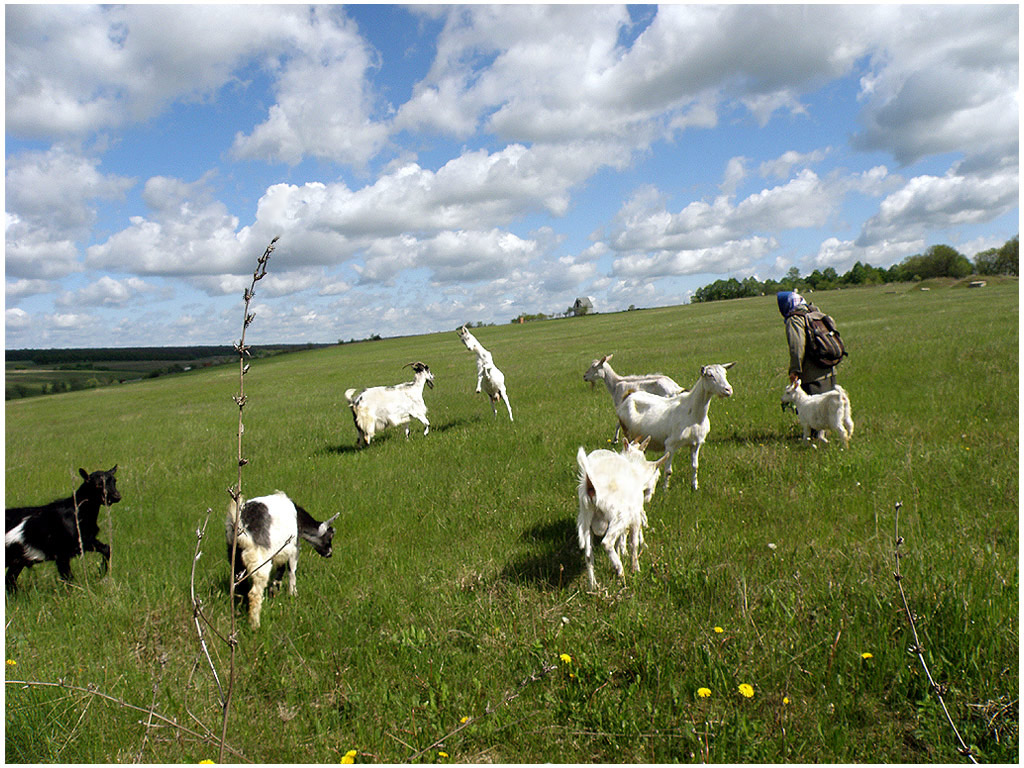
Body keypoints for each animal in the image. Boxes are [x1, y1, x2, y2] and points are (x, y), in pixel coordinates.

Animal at [4, 462, 121, 593]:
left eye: (114, 481)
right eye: (98, 484)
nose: (117, 496)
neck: (77, 512)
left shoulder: (85, 542)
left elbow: (106, 549)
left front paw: (101, 572)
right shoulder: (63, 552)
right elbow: (67, 576)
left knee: (9, 581)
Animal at [573, 438, 667, 589]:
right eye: (656, 476)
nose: (649, 496)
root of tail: (590, 484)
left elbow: (621, 541)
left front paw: (621, 553)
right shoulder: (634, 518)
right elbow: (634, 543)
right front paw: (636, 569)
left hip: (586, 519)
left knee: (588, 554)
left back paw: (593, 586)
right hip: (619, 516)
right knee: (607, 542)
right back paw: (620, 572)